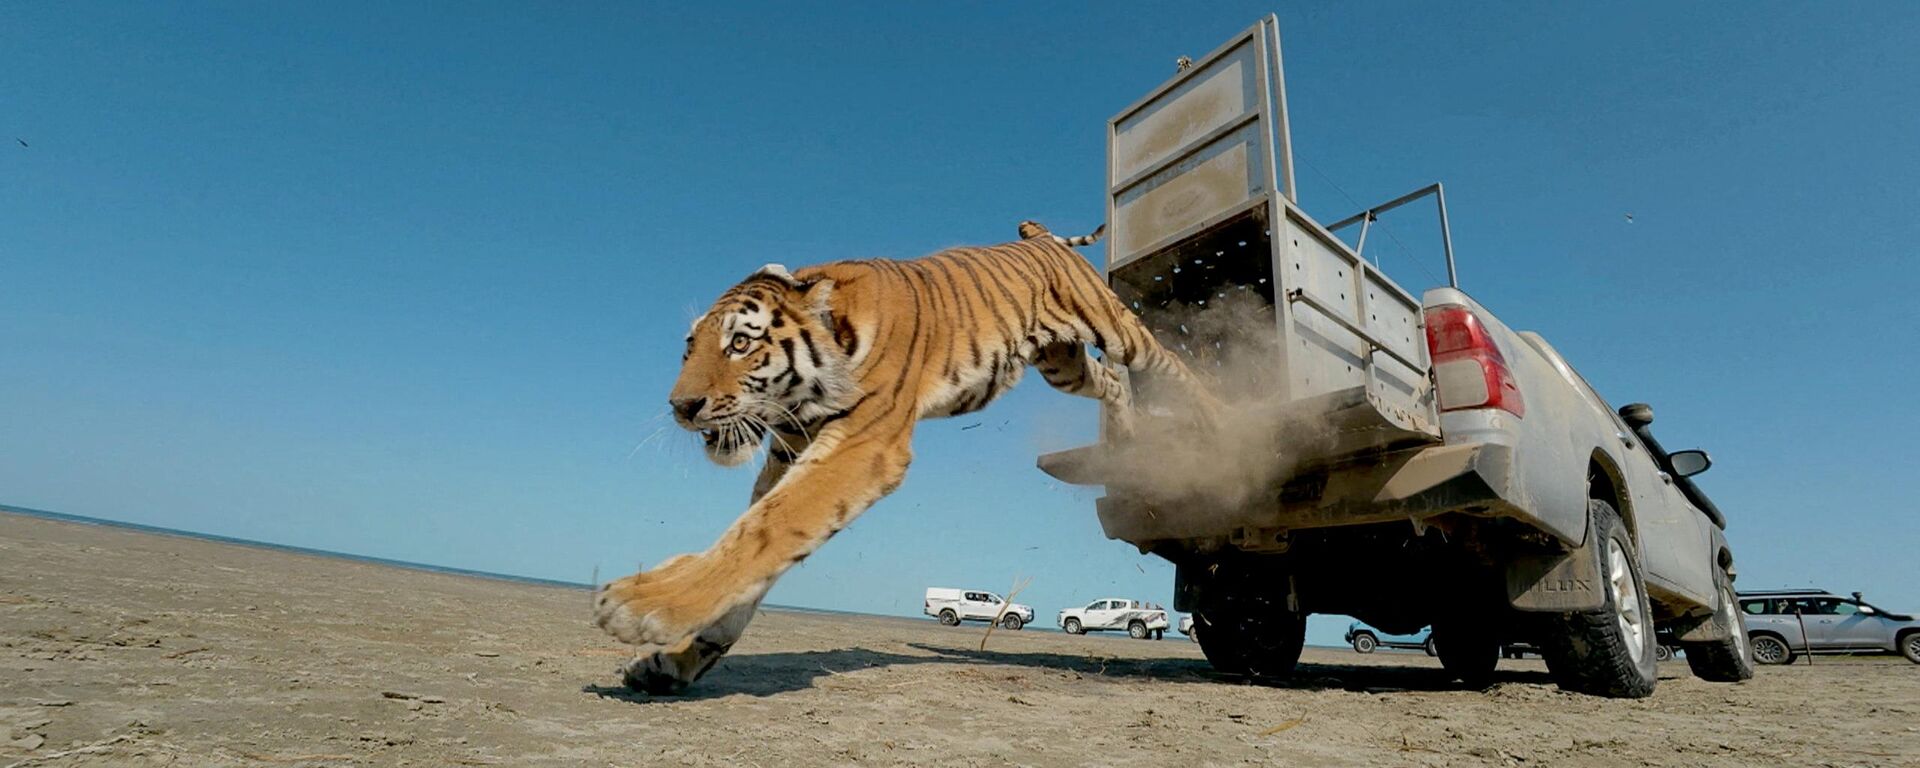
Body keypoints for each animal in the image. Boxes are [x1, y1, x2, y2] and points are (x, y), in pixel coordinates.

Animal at [593, 220, 1224, 693]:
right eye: (689, 347)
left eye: (740, 344)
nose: (681, 407)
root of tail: (1040, 237)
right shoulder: (788, 452)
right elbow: (755, 541)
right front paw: (675, 661)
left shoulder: (863, 445)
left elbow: (765, 529)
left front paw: (643, 603)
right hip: (1061, 361)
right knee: (1111, 382)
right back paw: (1124, 443)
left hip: (1111, 323)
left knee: (1165, 364)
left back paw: (1218, 423)